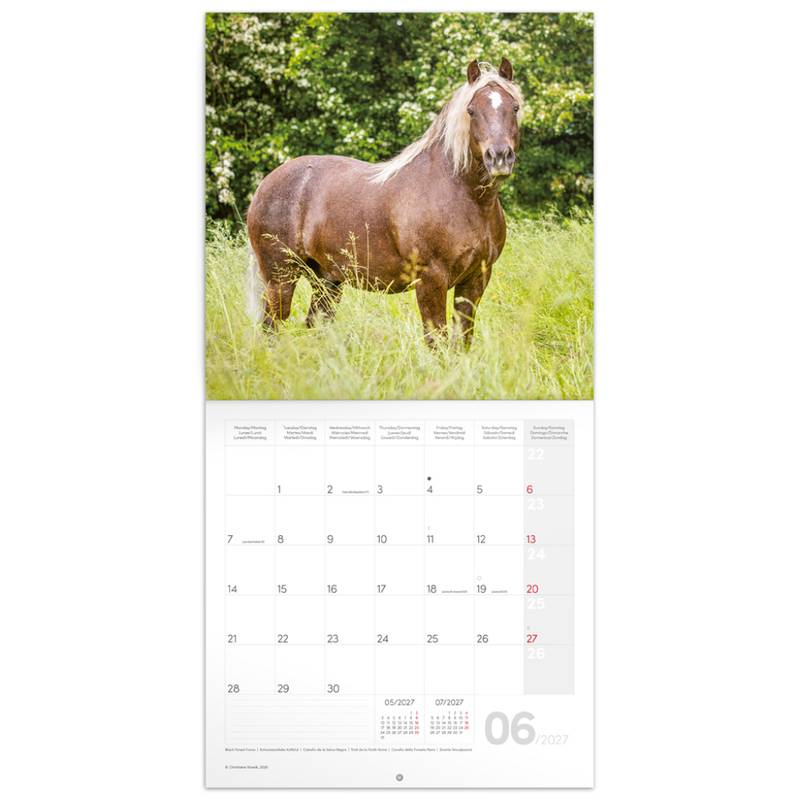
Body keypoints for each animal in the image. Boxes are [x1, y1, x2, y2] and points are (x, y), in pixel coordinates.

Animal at [246, 58, 522, 348]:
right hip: (281, 278)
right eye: (471, 110)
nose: (499, 157)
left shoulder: (476, 278)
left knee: (315, 324)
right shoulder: (430, 281)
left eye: (514, 107)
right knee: (272, 326)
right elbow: (436, 341)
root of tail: (265, 185)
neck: (464, 197)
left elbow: (462, 340)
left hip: (327, 281)